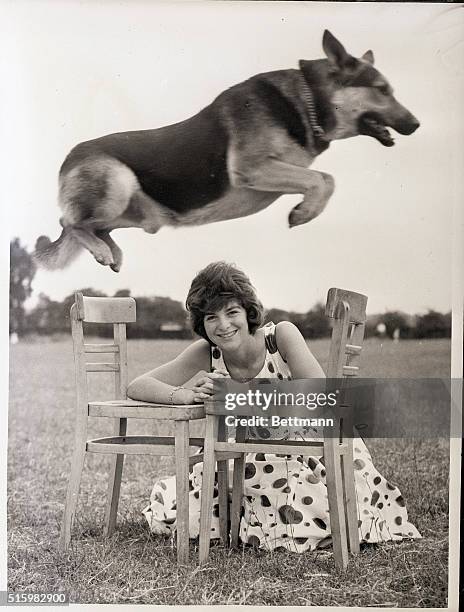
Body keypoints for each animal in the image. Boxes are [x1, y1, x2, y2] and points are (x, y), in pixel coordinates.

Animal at [34, 30, 418, 270]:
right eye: (382, 89)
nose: (415, 124)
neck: (309, 99)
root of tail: (68, 159)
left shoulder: (277, 171)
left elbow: (323, 178)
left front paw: (306, 209)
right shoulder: (253, 168)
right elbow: (324, 178)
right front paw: (304, 212)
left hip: (137, 211)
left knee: (92, 226)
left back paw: (111, 251)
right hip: (117, 184)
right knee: (70, 222)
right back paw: (101, 251)